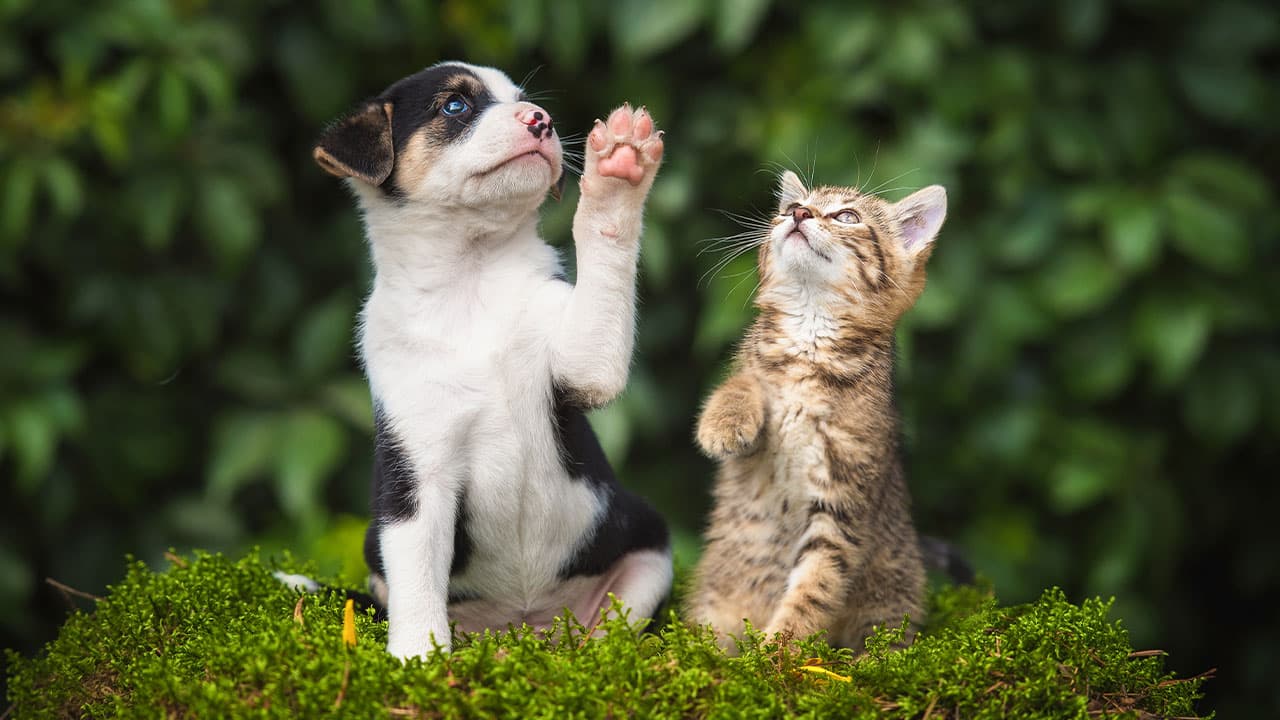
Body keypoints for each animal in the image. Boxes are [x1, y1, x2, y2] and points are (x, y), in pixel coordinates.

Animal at [309, 64, 670, 661]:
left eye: (523, 101)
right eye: (455, 106)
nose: (542, 120)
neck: (471, 277)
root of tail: (522, 628)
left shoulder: (584, 364)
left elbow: (605, 236)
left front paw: (618, 169)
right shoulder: (417, 478)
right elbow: (417, 584)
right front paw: (417, 659)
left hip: (648, 550)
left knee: (608, 631)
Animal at [686, 169, 947, 650]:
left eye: (847, 216)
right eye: (791, 207)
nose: (799, 213)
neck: (810, 337)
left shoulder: (842, 500)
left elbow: (815, 586)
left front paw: (776, 651)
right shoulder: (755, 384)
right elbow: (742, 382)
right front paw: (724, 422)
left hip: (891, 597)